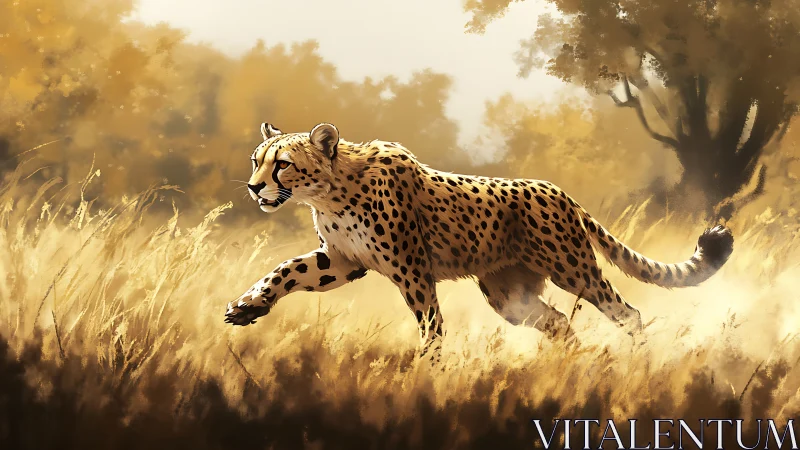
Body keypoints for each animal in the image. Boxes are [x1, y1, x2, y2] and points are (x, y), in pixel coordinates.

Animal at [224, 122, 734, 359]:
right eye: (256, 160)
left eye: (282, 164)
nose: (252, 187)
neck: (329, 192)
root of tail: (558, 190)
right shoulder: (344, 261)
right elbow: (286, 271)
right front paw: (248, 306)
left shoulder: (411, 269)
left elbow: (430, 322)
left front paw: (427, 369)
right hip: (509, 296)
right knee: (559, 324)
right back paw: (566, 366)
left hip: (573, 269)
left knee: (627, 312)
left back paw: (641, 361)